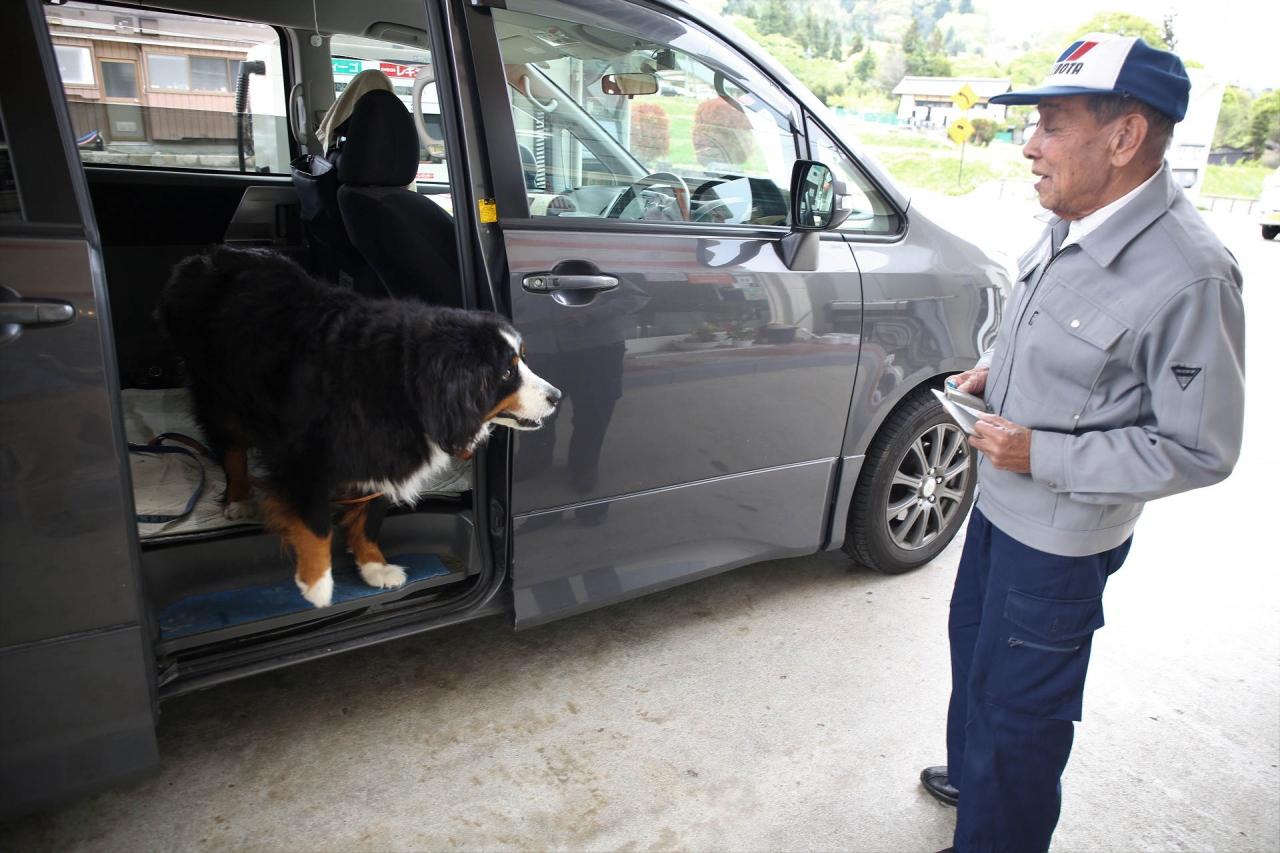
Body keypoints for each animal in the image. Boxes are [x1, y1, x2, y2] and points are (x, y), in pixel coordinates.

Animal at [159, 246, 560, 607]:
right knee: (231, 445)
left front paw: (374, 566)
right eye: (506, 372)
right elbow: (314, 520)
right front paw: (317, 584)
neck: (403, 385)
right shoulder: (303, 454)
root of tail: (204, 258)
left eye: (521, 361)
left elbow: (370, 513)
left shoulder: (381, 447)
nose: (556, 395)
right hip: (216, 390)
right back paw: (239, 498)